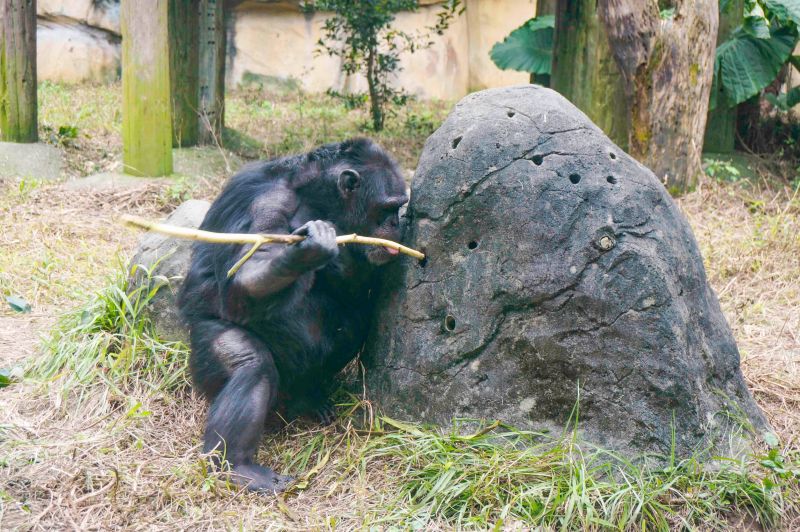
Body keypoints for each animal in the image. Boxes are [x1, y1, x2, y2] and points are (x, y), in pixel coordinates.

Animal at [179, 138, 410, 494]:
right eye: (387, 207)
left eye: (400, 207)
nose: (398, 223)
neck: (318, 200)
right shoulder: (267, 203)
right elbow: (247, 272)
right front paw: (306, 250)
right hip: (204, 353)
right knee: (251, 365)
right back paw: (238, 466)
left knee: (349, 327)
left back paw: (308, 396)